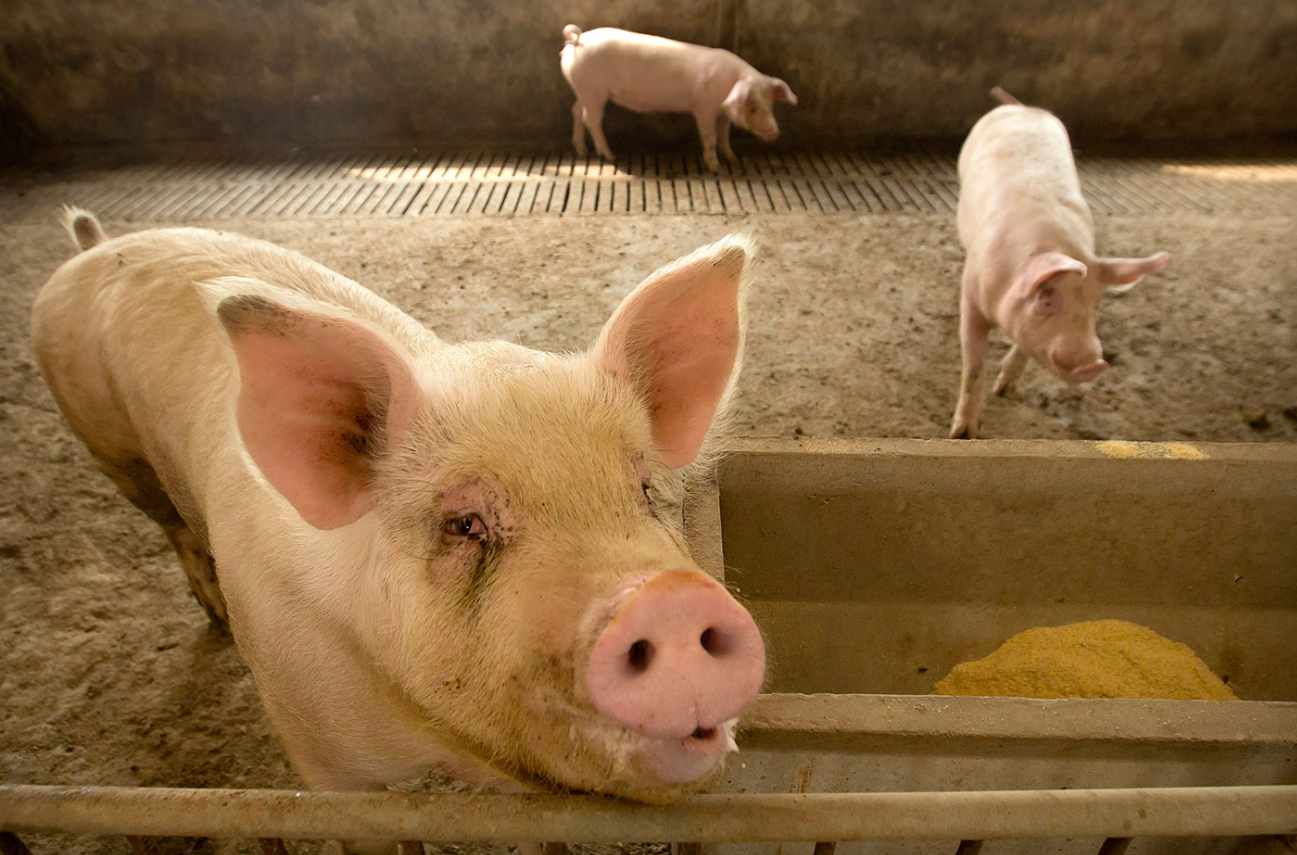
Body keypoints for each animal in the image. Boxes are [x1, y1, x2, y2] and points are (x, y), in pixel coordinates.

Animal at [30, 212, 767, 851]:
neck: (429, 741)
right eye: (464, 523)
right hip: (113, 450)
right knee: (172, 526)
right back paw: (212, 615)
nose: (669, 597)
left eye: (643, 491)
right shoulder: (322, 766)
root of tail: (96, 245)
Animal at [560, 25, 793, 172]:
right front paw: (715, 168)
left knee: (575, 111)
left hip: (581, 89)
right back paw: (609, 156)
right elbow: (710, 137)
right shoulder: (703, 107)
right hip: (594, 90)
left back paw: (582, 151)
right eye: (752, 106)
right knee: (591, 119)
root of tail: (578, 40)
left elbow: (724, 134)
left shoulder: (723, 113)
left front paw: (732, 158)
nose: (775, 131)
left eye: (770, 104)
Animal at [949, 88, 1172, 441]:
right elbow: (973, 364)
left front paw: (1006, 391)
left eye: (1095, 305)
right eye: (1047, 301)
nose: (1093, 364)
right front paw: (962, 434)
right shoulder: (971, 298)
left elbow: (1023, 347)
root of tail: (1021, 108)